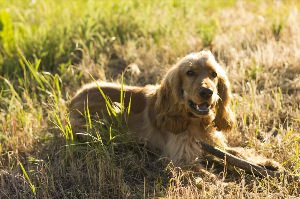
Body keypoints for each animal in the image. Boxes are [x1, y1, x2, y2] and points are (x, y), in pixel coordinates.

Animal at [69, 50, 282, 169]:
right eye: (190, 72)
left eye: (213, 74)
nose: (207, 92)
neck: (194, 121)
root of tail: (74, 97)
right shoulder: (181, 157)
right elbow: (202, 171)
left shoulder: (211, 143)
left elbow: (236, 152)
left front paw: (265, 163)